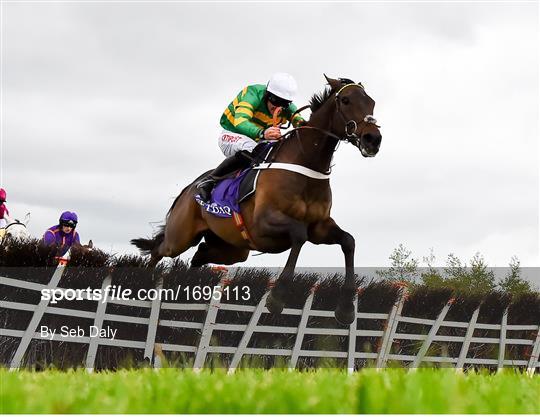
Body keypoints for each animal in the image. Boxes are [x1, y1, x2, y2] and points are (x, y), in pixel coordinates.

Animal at [132, 75, 382, 324]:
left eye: (371, 102)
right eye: (346, 100)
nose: (373, 139)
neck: (304, 165)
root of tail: (189, 189)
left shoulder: (319, 227)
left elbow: (348, 241)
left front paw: (346, 308)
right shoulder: (263, 223)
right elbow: (299, 235)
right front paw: (277, 297)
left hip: (232, 248)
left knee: (198, 255)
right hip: (180, 237)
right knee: (158, 251)